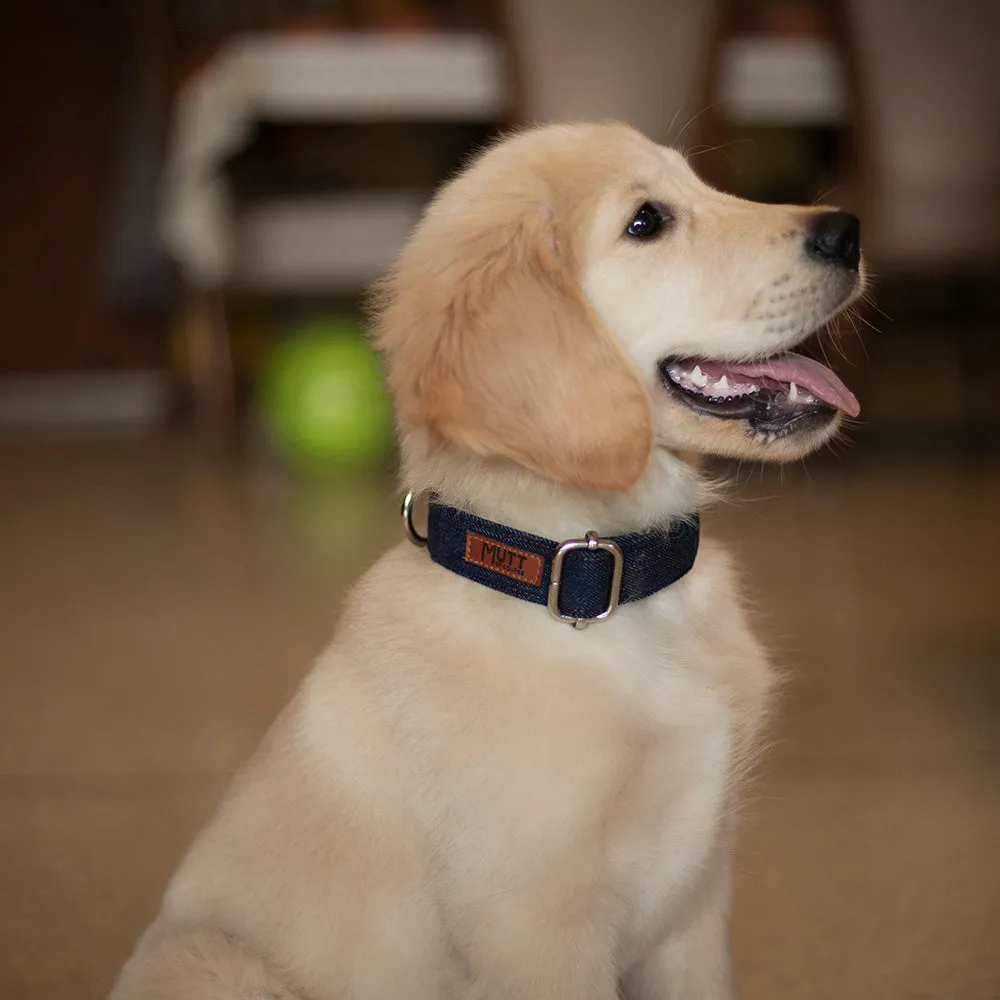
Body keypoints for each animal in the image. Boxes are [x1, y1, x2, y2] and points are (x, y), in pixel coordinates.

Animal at [107, 125, 860, 1000]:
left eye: (704, 186)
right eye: (647, 222)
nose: (848, 231)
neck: (595, 581)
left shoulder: (696, 906)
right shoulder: (538, 928)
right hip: (218, 962)